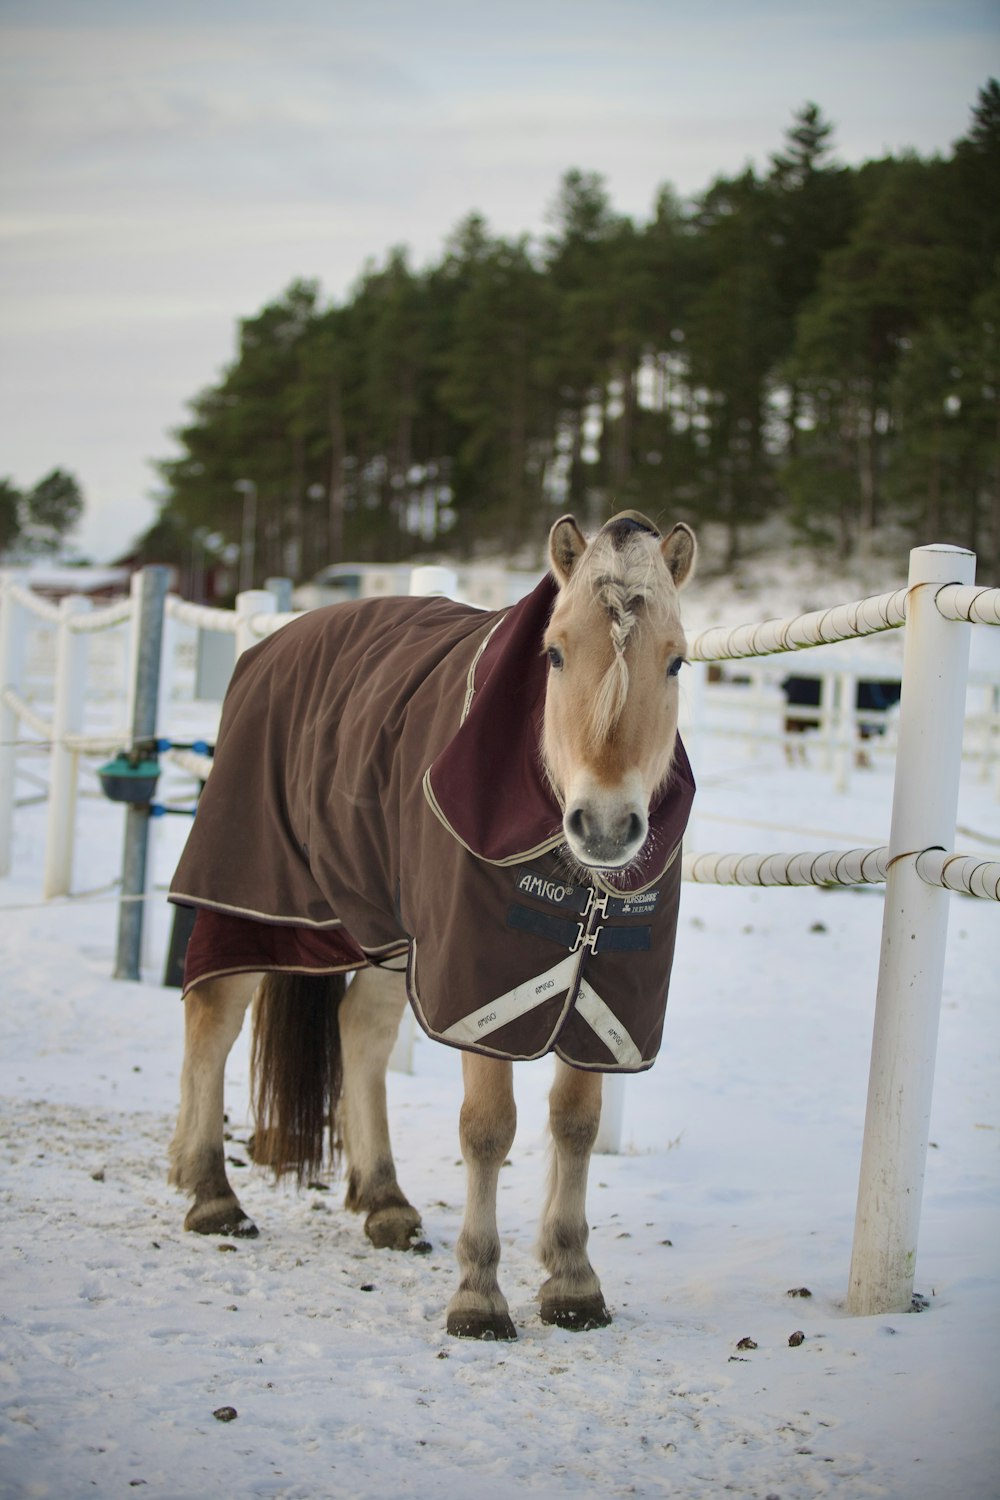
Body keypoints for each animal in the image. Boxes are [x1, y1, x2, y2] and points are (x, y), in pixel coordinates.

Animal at [166, 510, 695, 1344]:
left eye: (675, 662)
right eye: (554, 653)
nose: (607, 827)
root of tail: (275, 641)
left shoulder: (600, 998)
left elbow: (576, 1124)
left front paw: (573, 1281)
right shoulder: (479, 991)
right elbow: (488, 1127)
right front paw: (479, 1295)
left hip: (383, 935)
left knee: (361, 1032)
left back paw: (384, 1200)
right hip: (252, 895)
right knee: (212, 1018)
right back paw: (210, 1191)